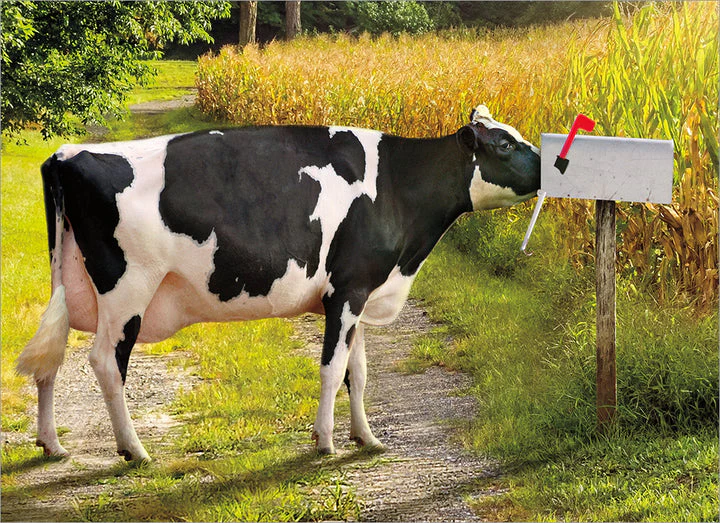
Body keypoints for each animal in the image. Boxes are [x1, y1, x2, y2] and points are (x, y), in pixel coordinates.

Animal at [16, 105, 540, 462]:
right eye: (505, 145)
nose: (552, 163)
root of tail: (66, 153)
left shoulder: (361, 291)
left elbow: (359, 372)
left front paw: (367, 438)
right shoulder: (346, 290)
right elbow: (333, 369)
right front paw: (325, 442)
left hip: (67, 278)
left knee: (51, 360)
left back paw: (52, 445)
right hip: (128, 288)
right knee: (106, 362)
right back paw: (134, 450)